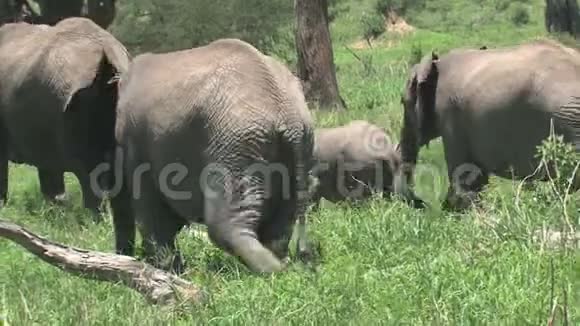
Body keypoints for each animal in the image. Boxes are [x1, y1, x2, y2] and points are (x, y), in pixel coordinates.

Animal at [107, 37, 318, 272]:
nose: (124, 255)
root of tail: (286, 115)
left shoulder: (136, 141)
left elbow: (151, 209)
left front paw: (169, 269)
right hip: (297, 147)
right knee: (280, 224)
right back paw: (282, 267)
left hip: (234, 145)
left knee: (224, 226)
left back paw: (276, 272)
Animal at [398, 38, 580, 211]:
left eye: (403, 102)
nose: (424, 204)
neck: (438, 61)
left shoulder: (450, 113)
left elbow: (464, 172)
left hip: (568, 122)